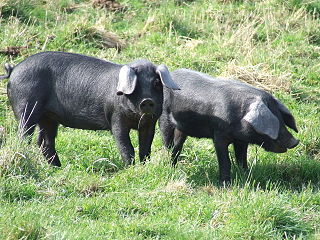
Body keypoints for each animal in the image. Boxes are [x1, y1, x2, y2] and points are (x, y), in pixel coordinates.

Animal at [0, 50, 180, 167]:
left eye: (156, 83)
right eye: (136, 86)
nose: (147, 100)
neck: (136, 119)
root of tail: (14, 70)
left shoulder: (149, 123)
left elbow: (145, 147)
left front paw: (143, 167)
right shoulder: (115, 118)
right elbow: (125, 146)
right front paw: (131, 167)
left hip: (48, 117)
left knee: (45, 143)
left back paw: (59, 168)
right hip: (26, 107)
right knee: (24, 136)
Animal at [160, 69, 300, 184]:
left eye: (282, 120)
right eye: (275, 124)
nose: (295, 141)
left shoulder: (241, 140)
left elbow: (242, 158)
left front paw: (245, 175)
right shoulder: (219, 135)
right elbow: (225, 160)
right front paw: (225, 184)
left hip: (182, 128)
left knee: (178, 143)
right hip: (164, 115)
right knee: (167, 140)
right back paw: (168, 162)